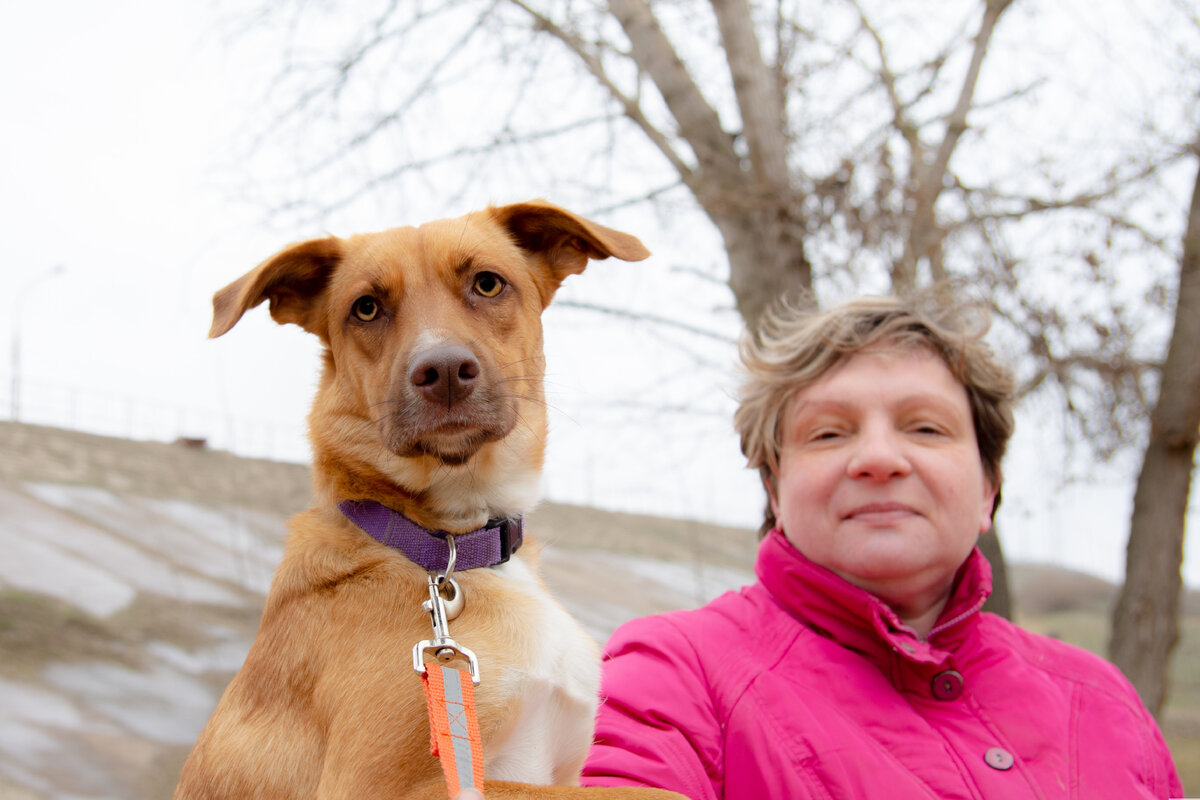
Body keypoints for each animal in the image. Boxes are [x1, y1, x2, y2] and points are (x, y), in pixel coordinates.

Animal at [176, 203, 686, 796]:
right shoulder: (385, 786)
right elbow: (644, 790)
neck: (450, 547)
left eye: (488, 283)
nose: (442, 371)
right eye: (366, 308)